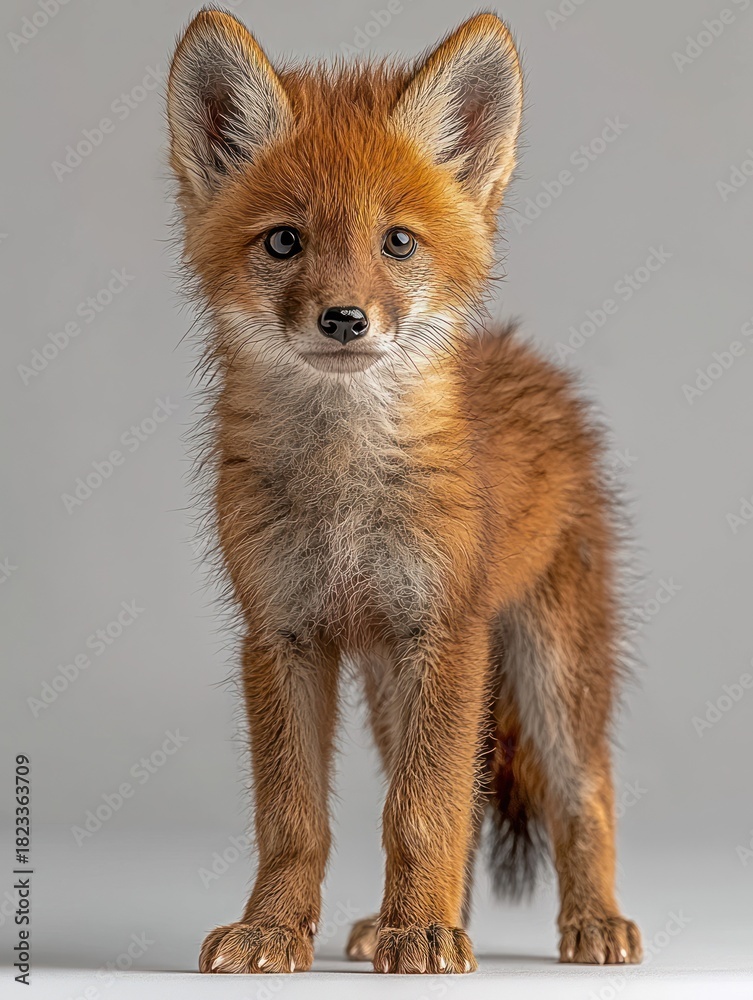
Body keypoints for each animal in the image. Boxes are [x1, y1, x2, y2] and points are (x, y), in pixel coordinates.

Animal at [166, 7, 643, 975]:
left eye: (396, 242)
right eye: (284, 241)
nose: (345, 319)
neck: (344, 490)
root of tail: (531, 363)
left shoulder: (443, 632)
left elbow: (423, 814)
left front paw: (418, 932)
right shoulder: (283, 634)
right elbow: (297, 821)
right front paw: (277, 930)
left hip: (548, 670)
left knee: (583, 790)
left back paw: (588, 921)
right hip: (396, 686)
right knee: (460, 804)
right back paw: (419, 922)